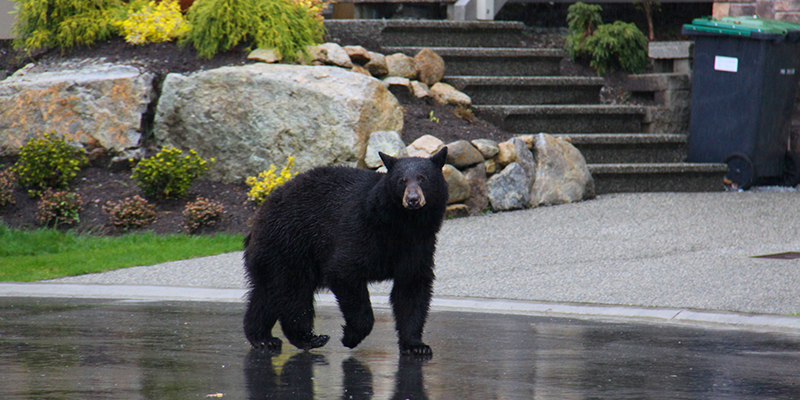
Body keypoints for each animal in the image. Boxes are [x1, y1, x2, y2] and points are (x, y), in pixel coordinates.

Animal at [243, 148, 449, 356]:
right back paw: (308, 337)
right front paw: (351, 336)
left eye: (423, 178)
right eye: (402, 180)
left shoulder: (418, 245)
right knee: (294, 292)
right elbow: (343, 271)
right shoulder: (360, 231)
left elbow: (411, 287)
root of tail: (262, 210)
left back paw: (262, 337)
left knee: (267, 293)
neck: (403, 225)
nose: (413, 199)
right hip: (290, 244)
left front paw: (416, 346)